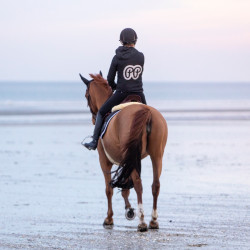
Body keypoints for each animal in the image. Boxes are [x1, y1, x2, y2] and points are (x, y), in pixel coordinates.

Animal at [80, 71, 168, 231]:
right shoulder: (128, 159)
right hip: (156, 155)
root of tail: (145, 111)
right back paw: (153, 220)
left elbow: (109, 188)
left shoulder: (104, 160)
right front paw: (129, 210)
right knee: (155, 184)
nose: (94, 118)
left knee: (139, 184)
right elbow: (125, 186)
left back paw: (142, 221)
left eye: (86, 95)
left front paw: (109, 218)